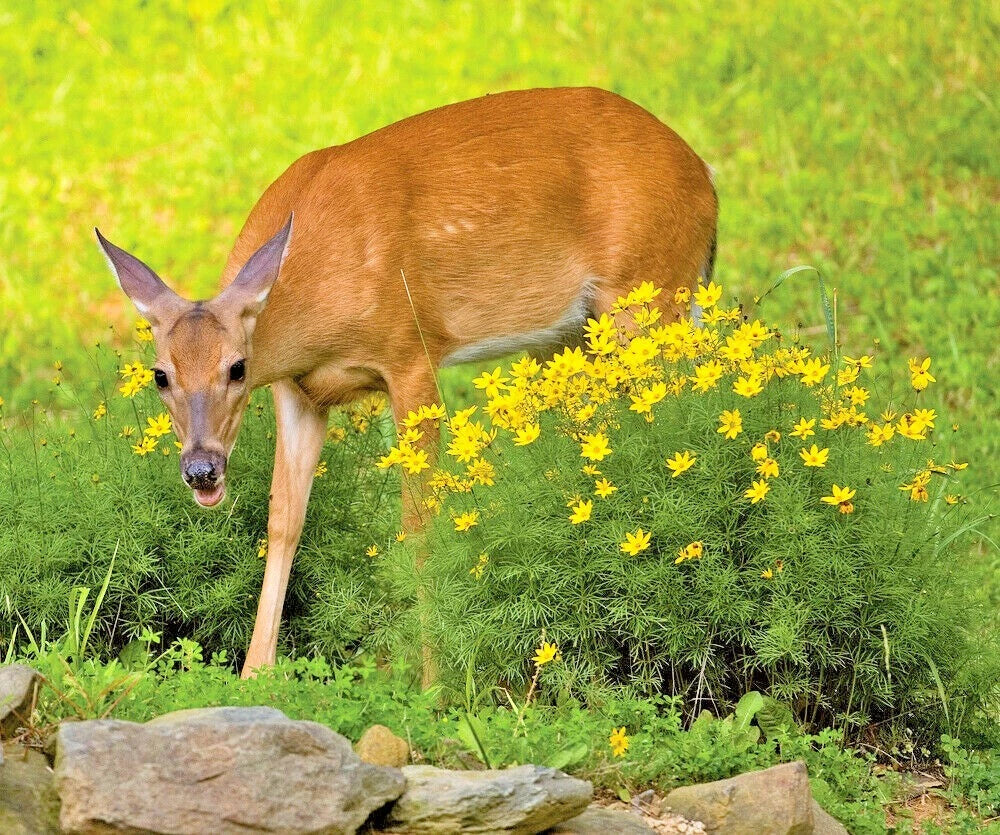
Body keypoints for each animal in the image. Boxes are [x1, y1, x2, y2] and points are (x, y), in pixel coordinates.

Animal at [96, 87, 718, 680]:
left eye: (237, 368)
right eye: (160, 375)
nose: (202, 469)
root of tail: (705, 174)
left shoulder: (410, 354)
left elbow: (418, 528)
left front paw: (432, 679)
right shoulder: (297, 392)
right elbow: (284, 520)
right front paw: (255, 675)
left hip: (649, 290)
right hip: (570, 334)